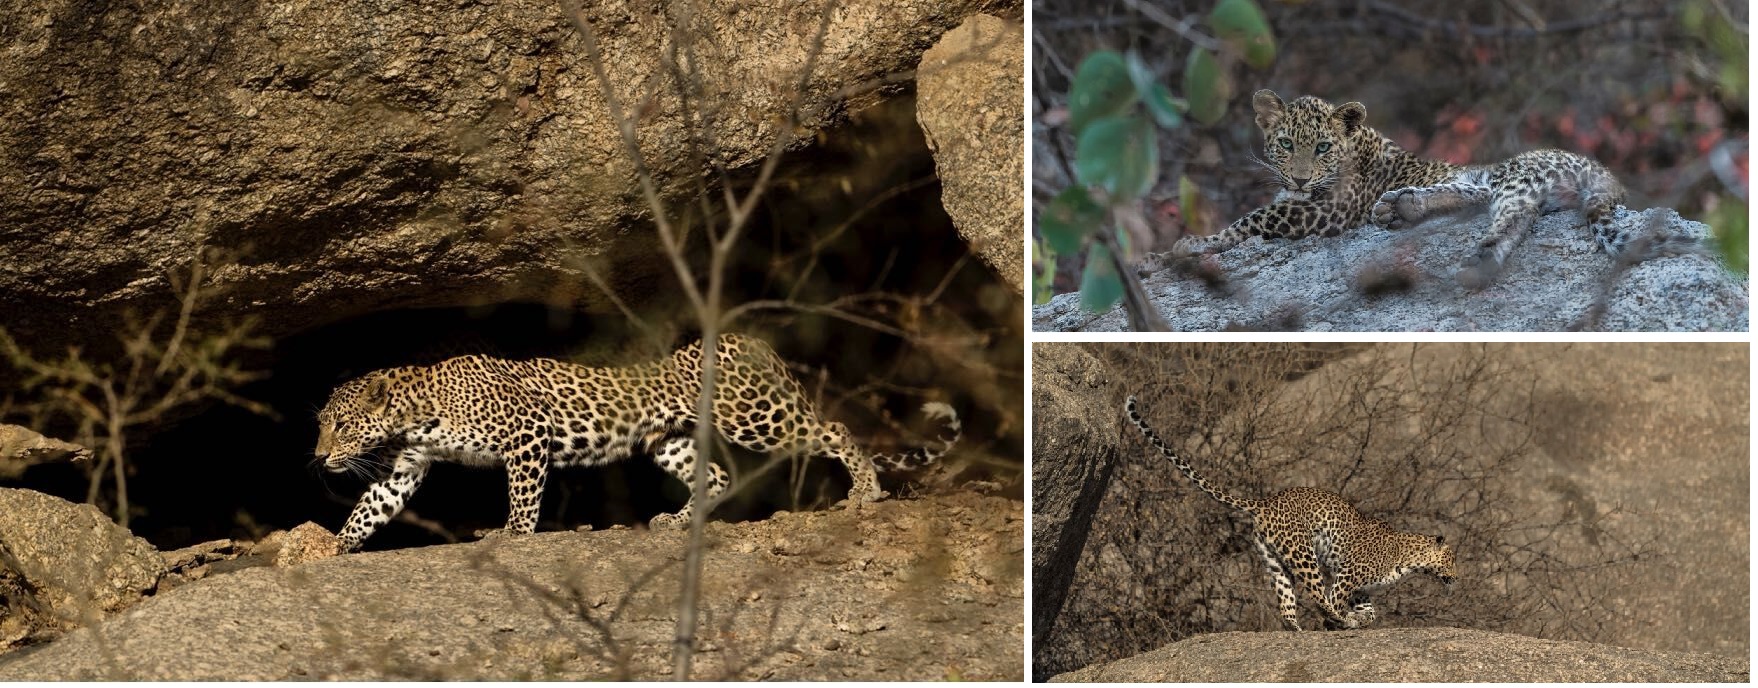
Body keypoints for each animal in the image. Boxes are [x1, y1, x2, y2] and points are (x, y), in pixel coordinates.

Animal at [314, 333, 961, 552]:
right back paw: (679, 520)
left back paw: (867, 490)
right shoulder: (405, 466)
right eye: (322, 424)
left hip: (755, 417)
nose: (319, 456)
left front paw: (512, 535)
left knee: (833, 430)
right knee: (717, 476)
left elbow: (523, 497)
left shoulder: (527, 435)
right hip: (668, 441)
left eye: (341, 425)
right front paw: (332, 546)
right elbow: (372, 508)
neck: (412, 413)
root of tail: (752, 341)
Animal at [1125, 394, 1455, 631]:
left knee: (1286, 606)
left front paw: (1358, 620)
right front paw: (1340, 623)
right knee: (1317, 596)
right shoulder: (1347, 576)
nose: (1456, 578)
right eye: (1452, 560)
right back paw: (1334, 622)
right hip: (1303, 553)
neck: (1409, 560)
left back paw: (1297, 631)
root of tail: (1266, 502)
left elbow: (1371, 613)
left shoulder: (1362, 590)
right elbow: (1334, 600)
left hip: (1275, 562)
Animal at [1143, 89, 1693, 289]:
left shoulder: (1328, 213)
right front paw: (1161, 257)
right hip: (1496, 178)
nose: (1298, 177)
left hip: (1519, 173)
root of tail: (1601, 170)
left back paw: (1475, 258)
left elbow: (1254, 218)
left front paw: (1188, 246)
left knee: (1512, 216)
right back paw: (1402, 208)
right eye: (1284, 143)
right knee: (1481, 197)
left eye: (1321, 147)